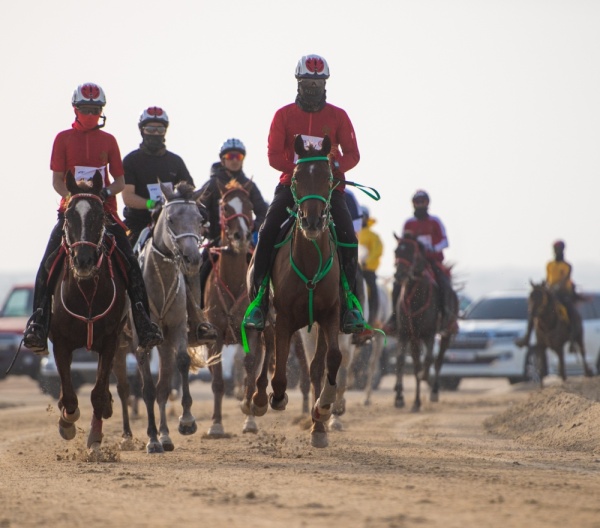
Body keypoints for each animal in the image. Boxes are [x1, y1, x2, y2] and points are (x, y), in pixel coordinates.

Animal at [48, 171, 128, 452]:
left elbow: (98, 393)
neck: (86, 293)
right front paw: (67, 423)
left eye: (99, 215)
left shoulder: (110, 341)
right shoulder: (60, 342)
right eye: (69, 216)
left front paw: (94, 437)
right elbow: (70, 397)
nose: (83, 260)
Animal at [116, 183, 206, 454]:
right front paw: (152, 439)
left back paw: (166, 436)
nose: (192, 259)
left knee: (163, 386)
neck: (161, 280)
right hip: (119, 346)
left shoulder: (176, 328)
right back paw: (126, 436)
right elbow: (146, 389)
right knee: (123, 389)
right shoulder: (141, 340)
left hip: (162, 344)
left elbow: (180, 365)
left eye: (199, 219)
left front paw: (186, 422)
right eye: (171, 219)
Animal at [248, 134, 342, 448]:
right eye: (298, 176)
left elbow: (330, 360)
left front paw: (323, 410)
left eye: (329, 177)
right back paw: (259, 399)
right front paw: (275, 398)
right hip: (268, 315)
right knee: (267, 349)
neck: (310, 261)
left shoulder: (329, 314)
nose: (312, 221)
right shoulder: (284, 318)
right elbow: (279, 373)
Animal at [392, 234, 458, 412]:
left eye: (411, 252)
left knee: (438, 359)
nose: (399, 275)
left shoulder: (429, 334)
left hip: (446, 333)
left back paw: (434, 391)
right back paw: (416, 401)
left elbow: (428, 359)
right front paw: (399, 398)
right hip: (415, 339)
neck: (414, 298)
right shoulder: (405, 334)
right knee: (417, 363)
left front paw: (425, 376)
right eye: (396, 251)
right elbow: (401, 360)